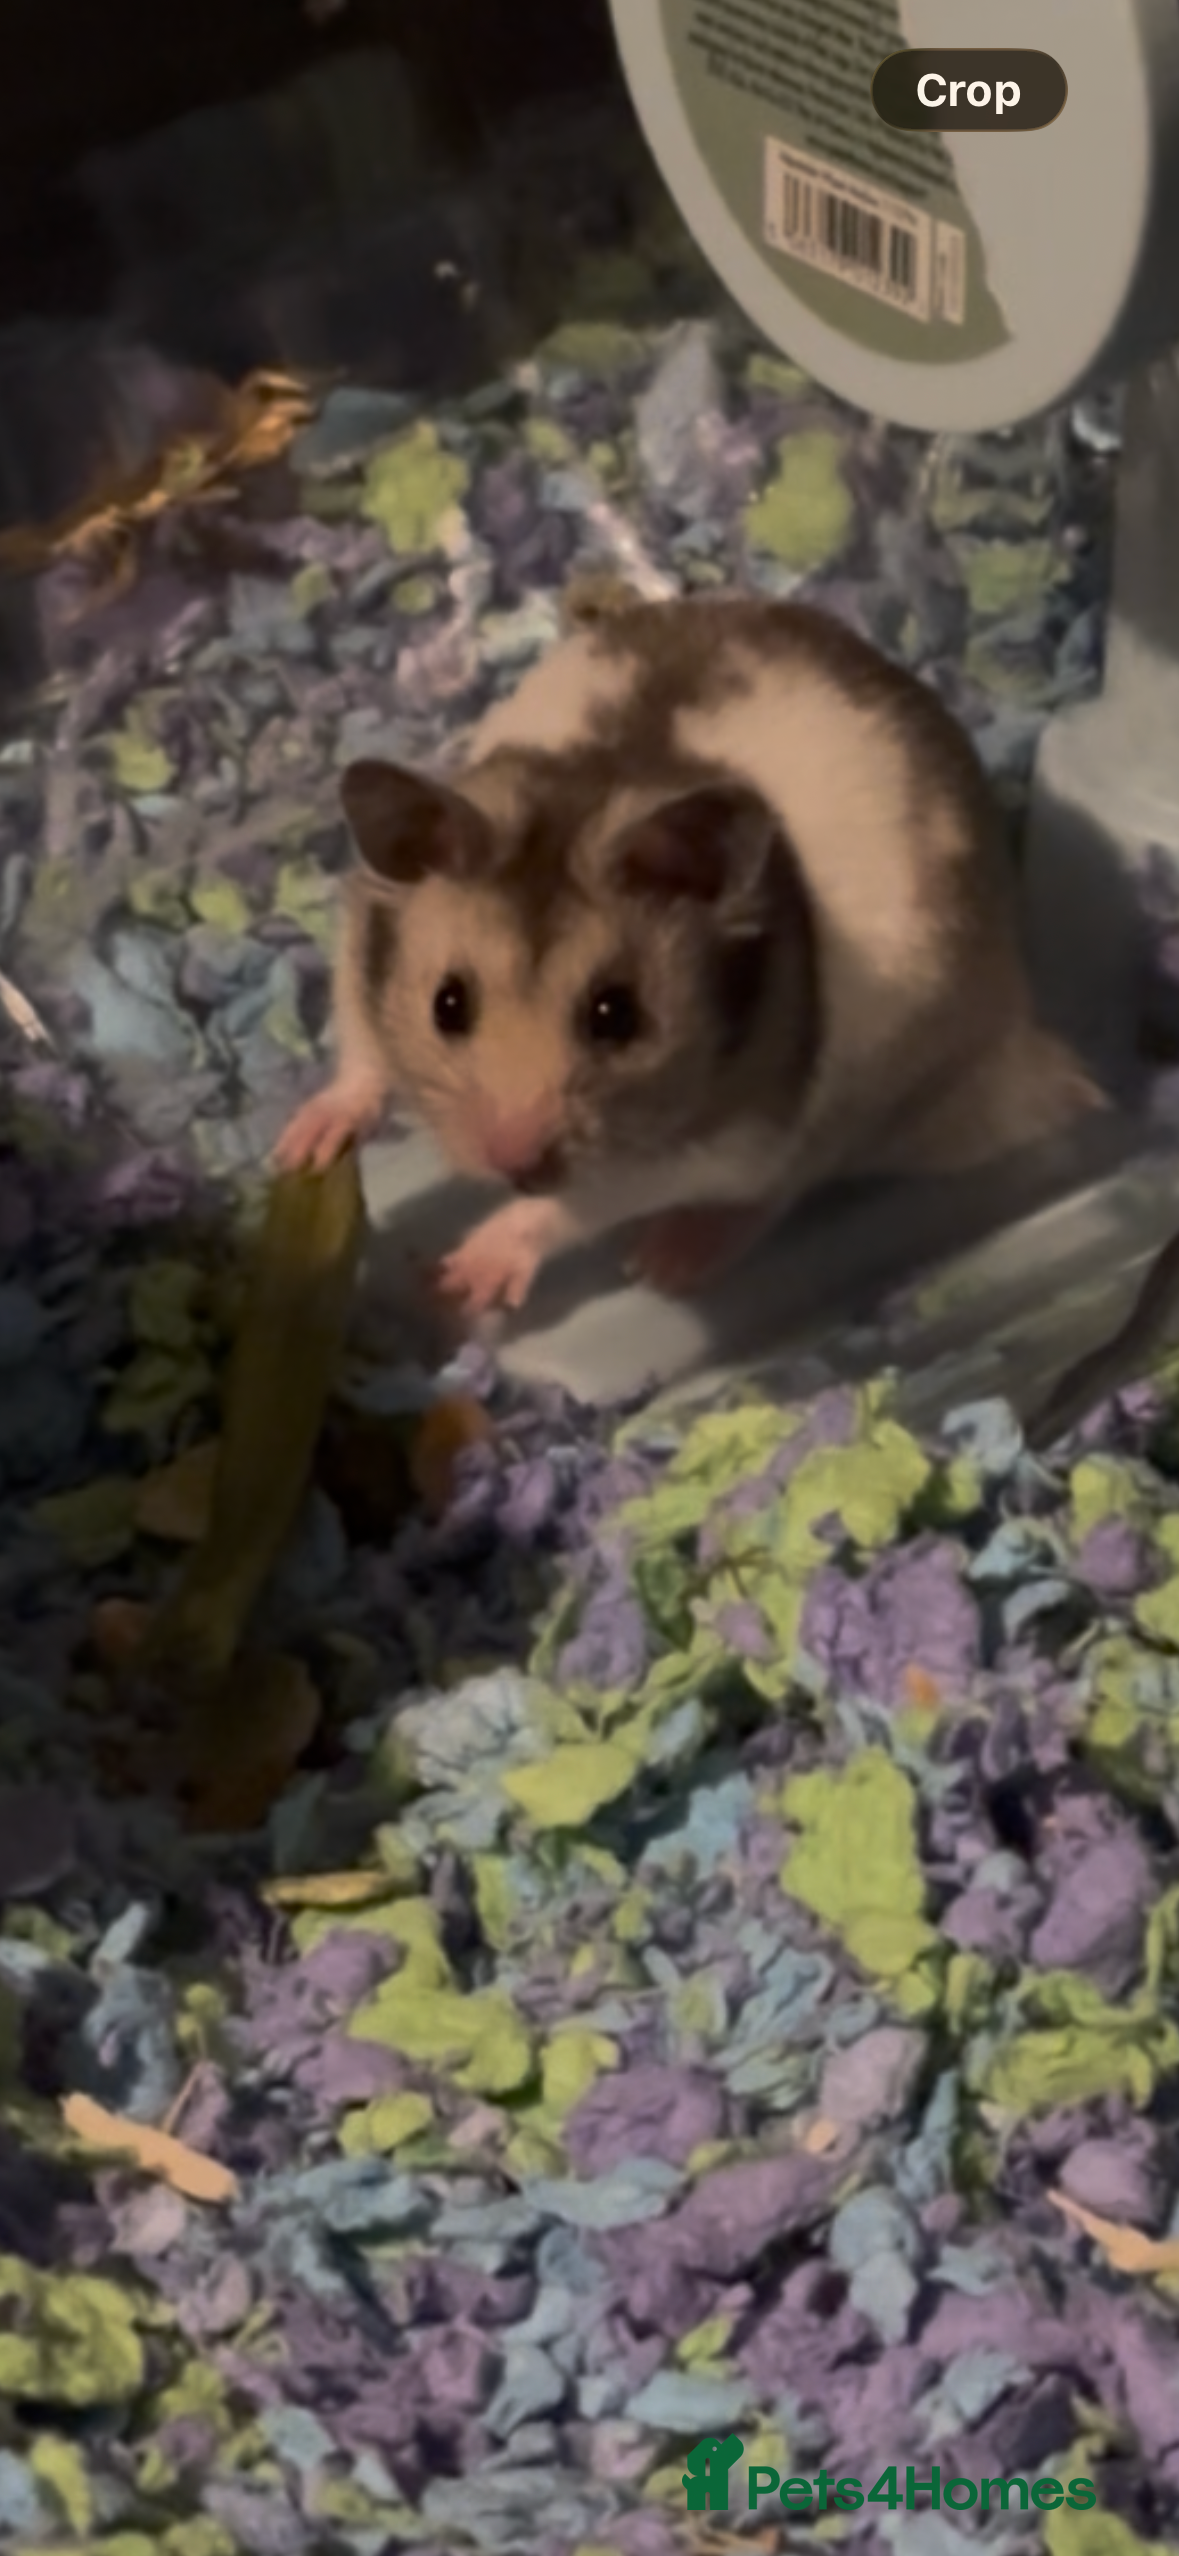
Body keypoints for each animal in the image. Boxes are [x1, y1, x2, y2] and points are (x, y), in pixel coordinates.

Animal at [275, 593, 1103, 1320]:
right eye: (446, 1004)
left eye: (616, 1016)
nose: (515, 1164)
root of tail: (1017, 1030)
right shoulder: (358, 957)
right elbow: (361, 1060)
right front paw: (300, 1152)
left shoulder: (714, 1142)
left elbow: (578, 1207)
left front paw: (458, 1279)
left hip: (867, 1102)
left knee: (776, 1194)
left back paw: (666, 1263)